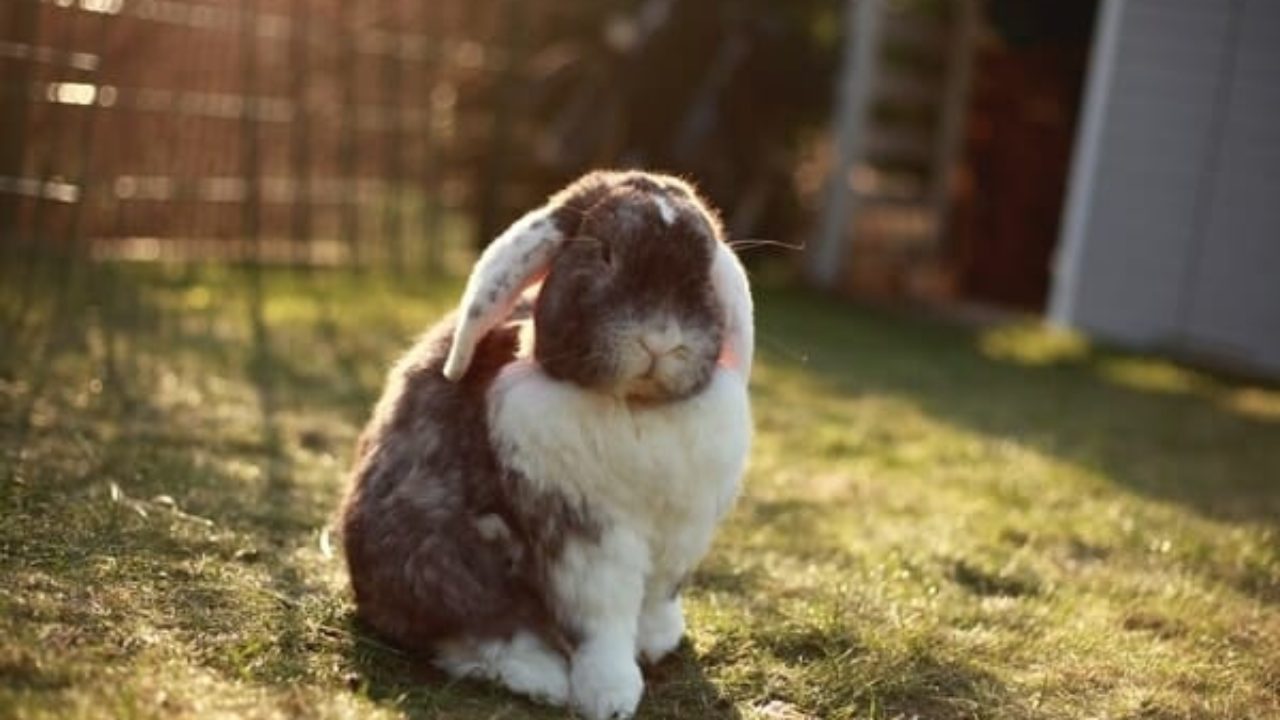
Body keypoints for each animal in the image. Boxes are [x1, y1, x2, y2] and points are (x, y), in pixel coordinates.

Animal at [340, 169, 752, 717]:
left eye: (705, 270)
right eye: (604, 253)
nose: (661, 339)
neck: (636, 407)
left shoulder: (679, 535)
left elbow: (656, 600)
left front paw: (658, 642)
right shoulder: (584, 534)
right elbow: (603, 620)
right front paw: (611, 696)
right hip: (439, 561)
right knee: (478, 635)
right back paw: (545, 679)